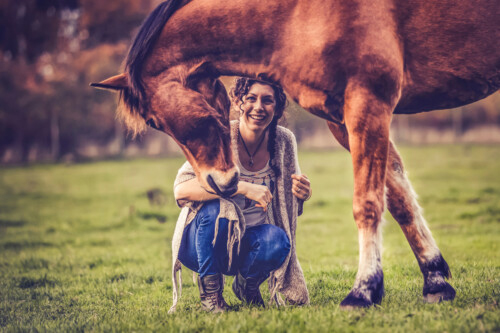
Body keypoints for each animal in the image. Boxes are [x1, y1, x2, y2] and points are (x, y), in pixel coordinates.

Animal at [92, 0, 498, 308]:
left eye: (153, 120)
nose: (218, 183)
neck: (296, 14)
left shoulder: (368, 103)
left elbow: (368, 202)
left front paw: (364, 291)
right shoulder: (343, 119)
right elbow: (398, 198)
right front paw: (436, 281)